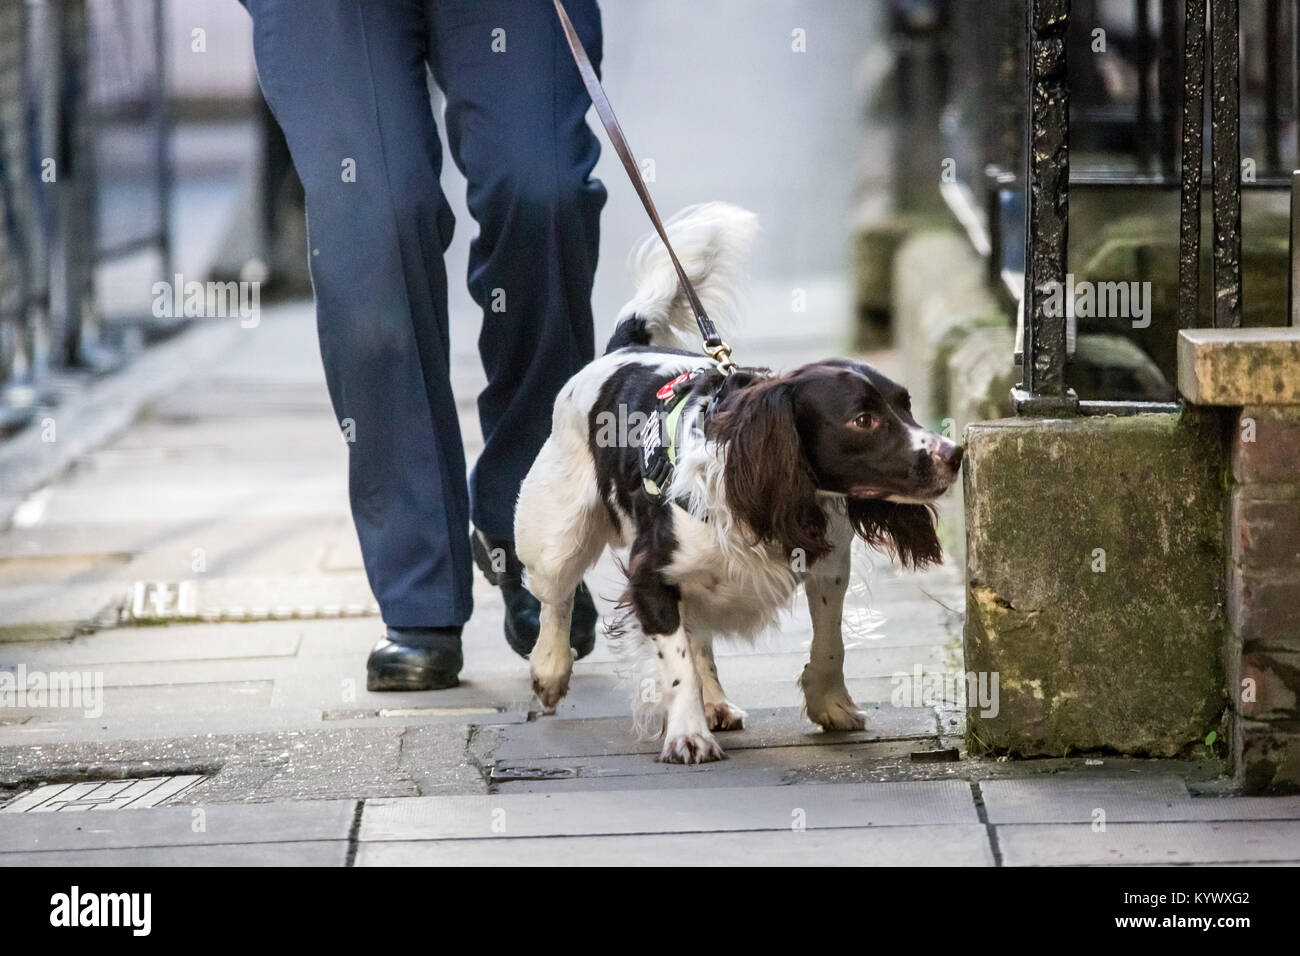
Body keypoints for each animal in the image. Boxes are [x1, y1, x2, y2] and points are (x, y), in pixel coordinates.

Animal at [512, 201, 961, 764]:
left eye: (906, 404)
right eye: (863, 420)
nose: (956, 454)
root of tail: (621, 350)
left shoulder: (829, 562)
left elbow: (828, 643)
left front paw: (830, 704)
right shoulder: (650, 574)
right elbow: (677, 663)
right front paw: (686, 734)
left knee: (697, 631)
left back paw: (717, 703)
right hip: (560, 527)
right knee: (556, 595)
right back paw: (550, 670)